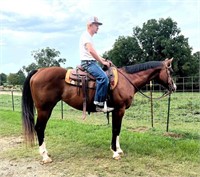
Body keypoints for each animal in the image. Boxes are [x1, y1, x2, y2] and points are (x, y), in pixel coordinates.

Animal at [21, 58, 176, 163]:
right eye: (170, 71)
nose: (174, 87)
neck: (127, 80)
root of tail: (39, 70)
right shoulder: (119, 109)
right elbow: (116, 129)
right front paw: (115, 152)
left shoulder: (115, 110)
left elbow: (117, 129)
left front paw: (118, 149)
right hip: (44, 109)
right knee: (39, 128)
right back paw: (45, 156)